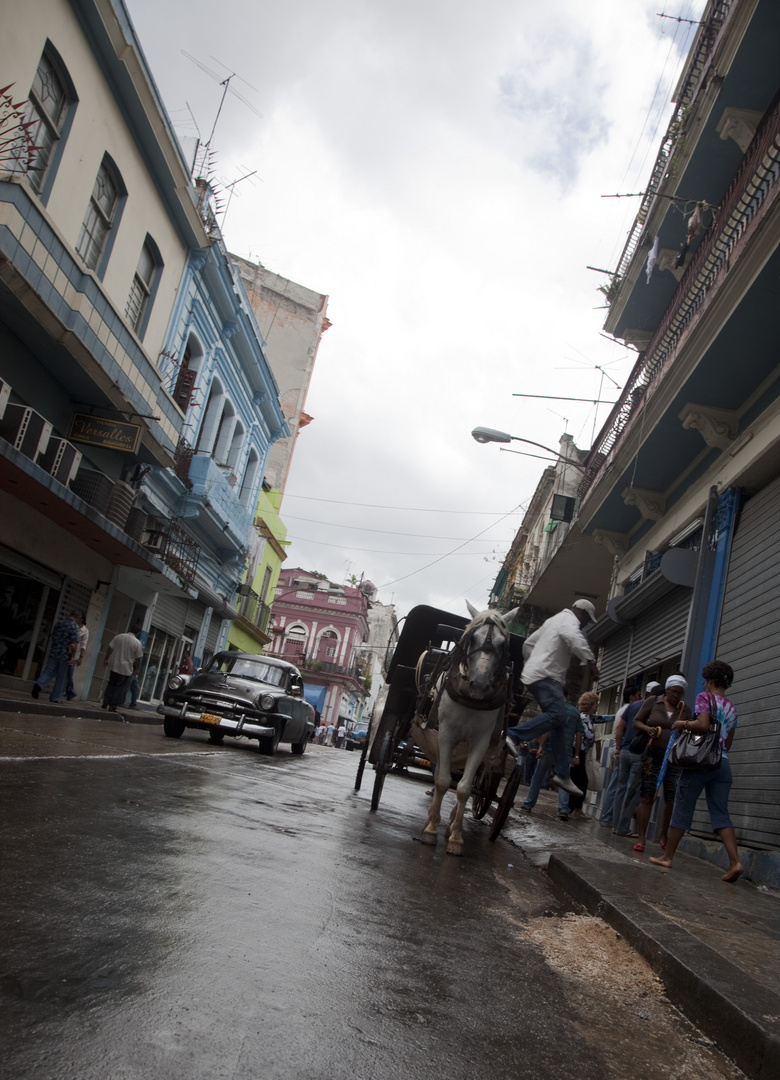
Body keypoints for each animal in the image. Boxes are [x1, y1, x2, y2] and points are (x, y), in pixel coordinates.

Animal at [417, 604, 518, 855]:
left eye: (502, 644)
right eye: (473, 638)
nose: (479, 685)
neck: (471, 699)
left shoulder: (481, 742)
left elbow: (464, 788)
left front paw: (455, 836)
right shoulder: (445, 734)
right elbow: (442, 781)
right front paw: (431, 830)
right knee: (440, 774)